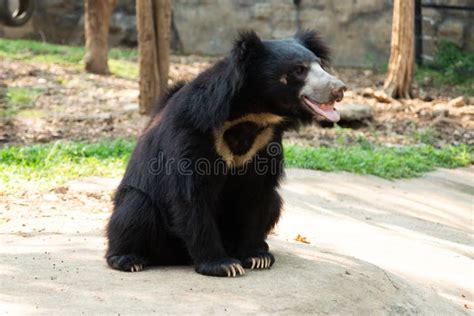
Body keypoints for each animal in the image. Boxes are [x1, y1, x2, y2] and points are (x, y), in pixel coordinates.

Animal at [106, 29, 344, 276]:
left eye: (320, 65)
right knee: (135, 209)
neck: (251, 115)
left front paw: (256, 257)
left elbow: (257, 194)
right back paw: (127, 259)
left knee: (275, 202)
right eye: (299, 69)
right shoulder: (192, 133)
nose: (339, 89)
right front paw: (222, 264)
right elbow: (190, 194)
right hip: (142, 208)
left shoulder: (265, 143)